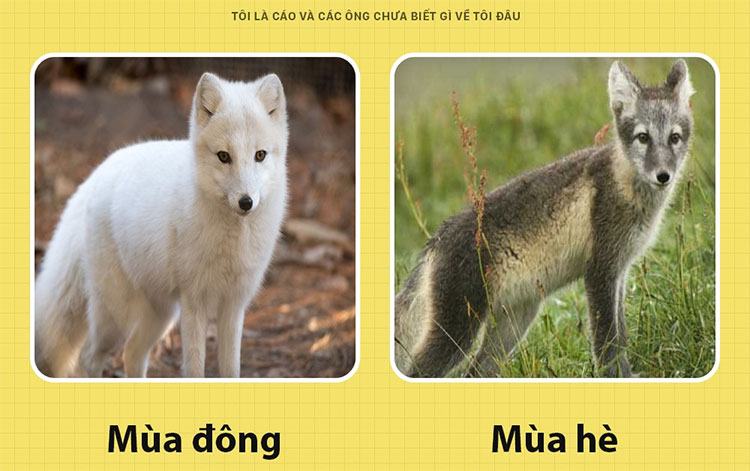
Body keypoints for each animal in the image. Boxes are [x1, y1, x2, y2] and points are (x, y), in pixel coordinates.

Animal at [34, 72, 288, 378]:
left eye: (260, 155)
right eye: (224, 156)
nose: (246, 202)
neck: (232, 242)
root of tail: (96, 174)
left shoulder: (234, 305)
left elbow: (231, 370)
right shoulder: (194, 303)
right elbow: (195, 369)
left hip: (161, 313)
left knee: (132, 352)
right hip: (115, 316)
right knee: (88, 357)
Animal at [394, 60, 695, 378]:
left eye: (674, 138)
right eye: (643, 137)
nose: (663, 176)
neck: (624, 183)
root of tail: (437, 239)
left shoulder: (620, 270)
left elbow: (621, 337)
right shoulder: (600, 270)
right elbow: (607, 344)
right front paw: (617, 377)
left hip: (512, 326)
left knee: (473, 372)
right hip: (459, 328)